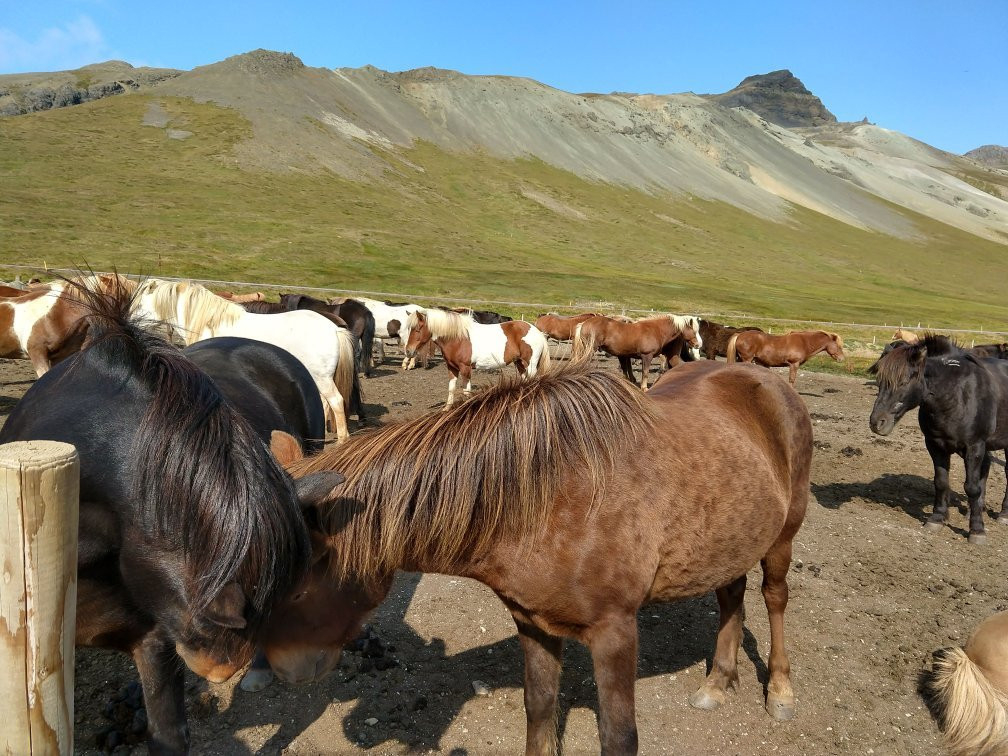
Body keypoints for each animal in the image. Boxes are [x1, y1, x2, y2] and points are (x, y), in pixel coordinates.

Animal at [132, 279, 359, 441]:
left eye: (140, 304)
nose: (129, 321)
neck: (207, 321)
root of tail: (334, 329)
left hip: (322, 378)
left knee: (336, 402)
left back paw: (342, 440)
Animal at [268, 358, 811, 754]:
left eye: (294, 585)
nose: (285, 671)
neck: (550, 496)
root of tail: (767, 380)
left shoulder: (615, 631)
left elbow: (619, 737)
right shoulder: (531, 622)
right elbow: (540, 709)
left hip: (782, 538)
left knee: (774, 598)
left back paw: (781, 691)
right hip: (731, 539)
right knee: (730, 596)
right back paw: (718, 681)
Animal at [405, 308, 550, 409]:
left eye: (418, 329)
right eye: (410, 329)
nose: (408, 351)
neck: (457, 338)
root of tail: (537, 331)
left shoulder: (465, 368)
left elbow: (466, 391)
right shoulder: (451, 367)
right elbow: (451, 388)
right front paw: (447, 409)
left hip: (530, 364)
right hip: (519, 363)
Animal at [868, 334, 1008, 544]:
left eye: (904, 381)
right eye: (879, 380)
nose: (877, 422)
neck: (958, 394)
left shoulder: (974, 447)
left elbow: (971, 487)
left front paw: (977, 531)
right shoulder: (935, 445)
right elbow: (941, 482)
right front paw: (937, 519)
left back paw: (1003, 515)